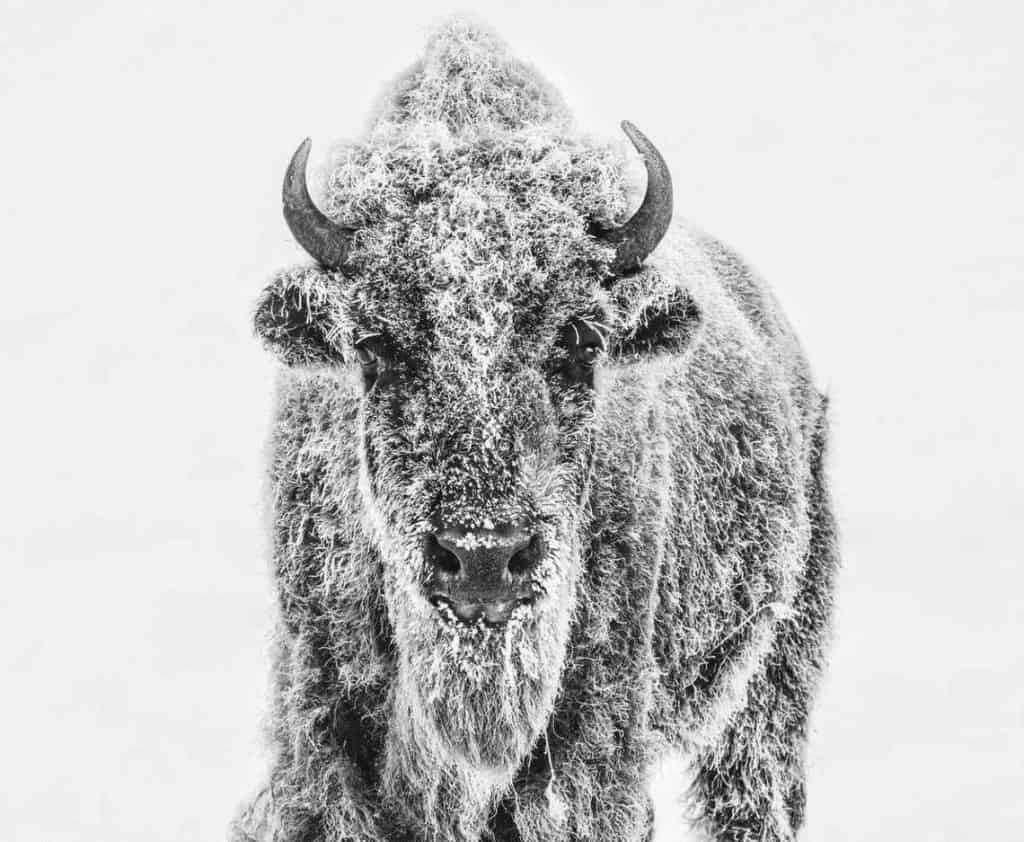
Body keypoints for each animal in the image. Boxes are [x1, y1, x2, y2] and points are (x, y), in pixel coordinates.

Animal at [234, 18, 839, 842]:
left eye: (577, 339)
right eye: (376, 344)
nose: (484, 560)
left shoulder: (583, 762)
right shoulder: (325, 747)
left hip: (770, 683)